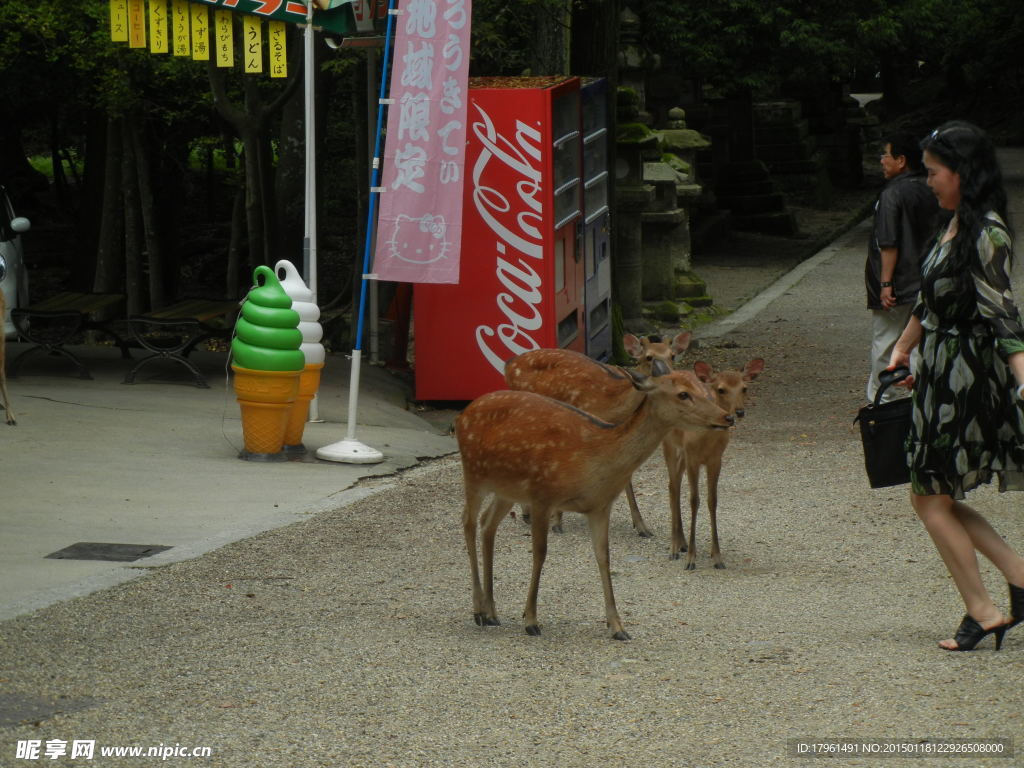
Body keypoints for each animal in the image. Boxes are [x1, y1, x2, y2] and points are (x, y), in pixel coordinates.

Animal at [454, 364, 729, 638]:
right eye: (683, 394)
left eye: (704, 388)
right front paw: (531, 620)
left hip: (506, 490)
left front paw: (617, 626)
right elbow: (540, 553)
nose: (727, 417)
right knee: (468, 521)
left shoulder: (599, 506)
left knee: (487, 524)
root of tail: (463, 415)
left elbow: (603, 556)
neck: (593, 459)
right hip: (474, 473)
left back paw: (491, 611)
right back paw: (478, 610)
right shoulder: (542, 495)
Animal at [505, 331, 696, 540]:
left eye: (672, 355)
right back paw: (528, 513)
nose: (672, 379)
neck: (614, 404)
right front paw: (557, 522)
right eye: (648, 357)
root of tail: (508, 364)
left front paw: (642, 527)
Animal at [667, 358, 765, 569]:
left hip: (683, 454)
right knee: (672, 486)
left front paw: (717, 556)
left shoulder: (716, 459)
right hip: (668, 443)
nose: (739, 412)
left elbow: (713, 501)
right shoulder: (693, 458)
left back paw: (682, 543)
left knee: (675, 483)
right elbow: (694, 500)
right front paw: (691, 559)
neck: (706, 439)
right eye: (721, 389)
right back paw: (674, 549)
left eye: (744, 388)